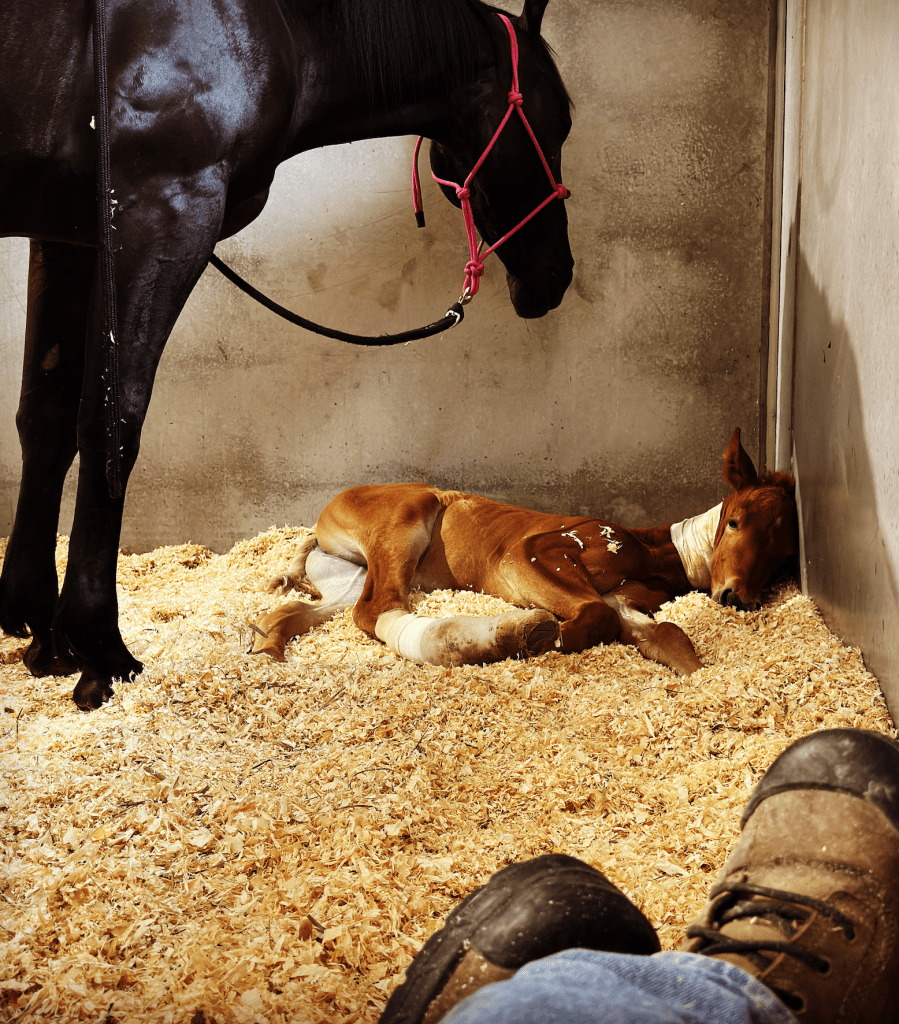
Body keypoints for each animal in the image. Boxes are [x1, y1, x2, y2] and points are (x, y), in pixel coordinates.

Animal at [0, 0, 574, 709]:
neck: (274, 29)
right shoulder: (160, 216)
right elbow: (113, 427)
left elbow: (47, 420)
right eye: (560, 122)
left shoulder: (70, 239)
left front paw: (42, 632)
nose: (555, 276)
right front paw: (98, 646)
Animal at [252, 429, 798, 675]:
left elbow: (668, 635)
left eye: (783, 554)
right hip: (408, 515)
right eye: (734, 521)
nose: (736, 597)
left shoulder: (626, 603)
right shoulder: (532, 553)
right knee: (377, 608)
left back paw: (267, 645)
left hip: (347, 573)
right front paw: (547, 635)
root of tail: (321, 521)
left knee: (307, 608)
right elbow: (594, 616)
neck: (649, 549)